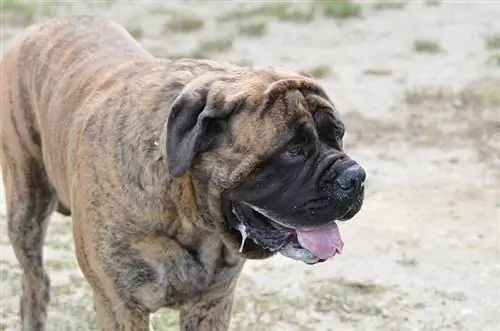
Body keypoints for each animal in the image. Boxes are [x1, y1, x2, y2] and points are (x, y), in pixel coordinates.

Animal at [0, 14, 368, 330]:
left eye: (338, 134)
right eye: (293, 150)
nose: (354, 177)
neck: (191, 219)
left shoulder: (212, 303)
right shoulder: (120, 306)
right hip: (26, 210)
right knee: (36, 283)